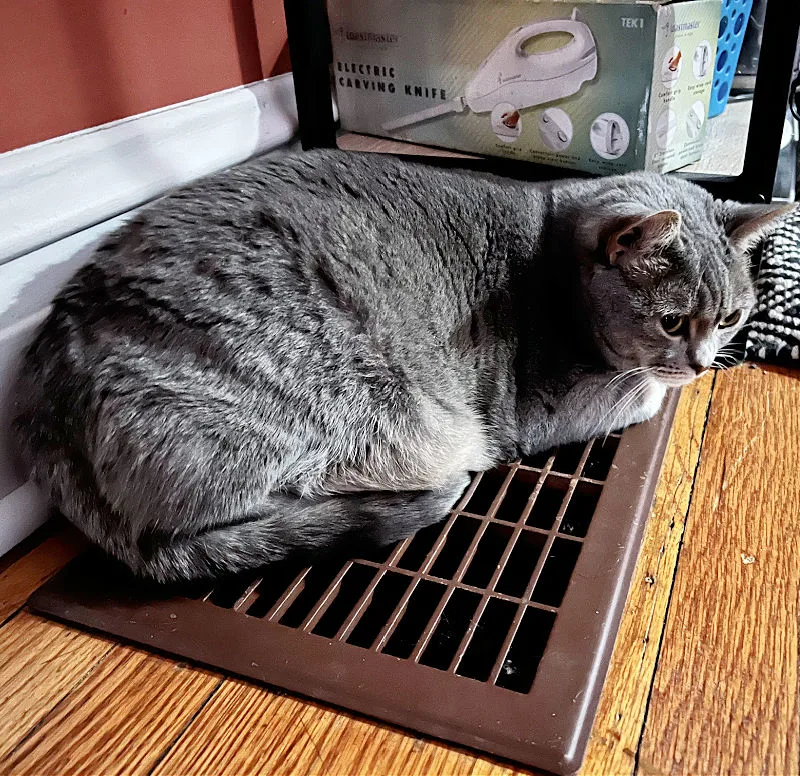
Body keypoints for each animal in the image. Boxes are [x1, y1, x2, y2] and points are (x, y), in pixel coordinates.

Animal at [12, 150, 788, 584]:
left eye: (730, 317)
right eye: (671, 321)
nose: (703, 362)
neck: (554, 263)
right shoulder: (549, 407)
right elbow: (647, 394)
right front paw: (663, 388)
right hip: (363, 409)